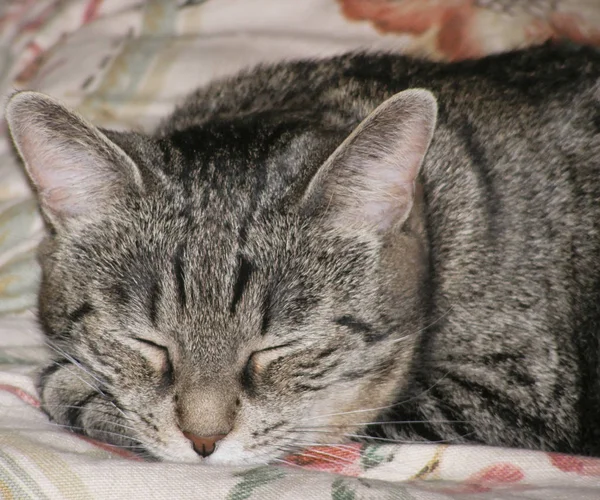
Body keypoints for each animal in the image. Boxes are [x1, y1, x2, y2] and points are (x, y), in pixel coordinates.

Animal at [4, 43, 600, 464]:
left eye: (279, 349)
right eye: (146, 343)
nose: (203, 440)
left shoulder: (517, 391)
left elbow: (350, 416)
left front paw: (76, 389)